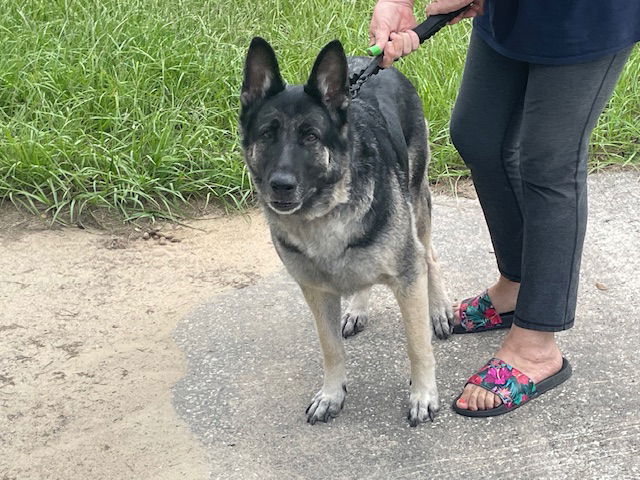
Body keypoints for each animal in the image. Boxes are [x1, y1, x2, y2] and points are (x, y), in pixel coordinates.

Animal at [240, 38, 456, 428]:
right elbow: (331, 349)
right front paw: (332, 394)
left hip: (417, 205)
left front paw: (423, 395)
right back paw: (358, 308)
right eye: (267, 134)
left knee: (429, 255)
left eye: (310, 136)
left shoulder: (407, 279)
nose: (281, 185)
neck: (324, 214)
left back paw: (440, 310)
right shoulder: (316, 292)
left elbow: (417, 346)